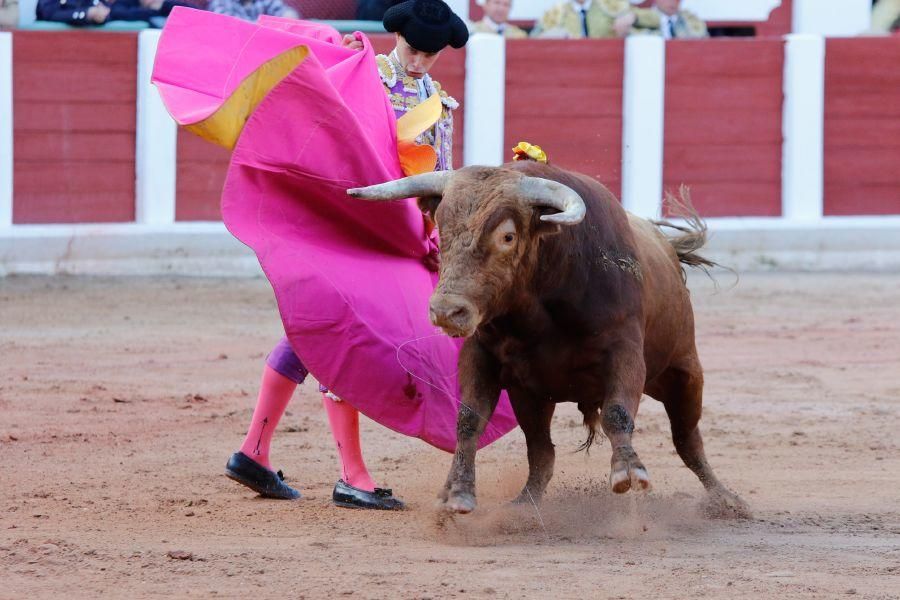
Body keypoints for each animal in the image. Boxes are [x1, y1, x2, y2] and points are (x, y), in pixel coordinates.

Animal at [348, 162, 748, 516]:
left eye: (508, 236)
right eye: (441, 230)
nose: (447, 311)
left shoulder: (626, 351)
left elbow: (618, 412)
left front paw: (628, 471)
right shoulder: (483, 355)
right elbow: (469, 419)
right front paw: (458, 493)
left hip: (684, 371)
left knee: (687, 439)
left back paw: (727, 501)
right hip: (532, 396)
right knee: (542, 452)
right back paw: (524, 505)